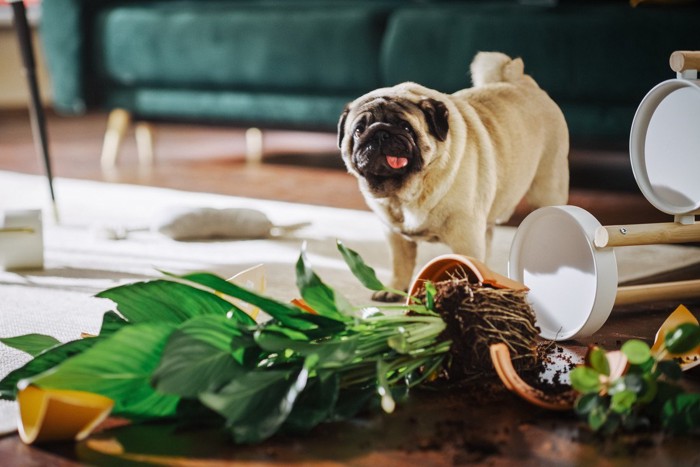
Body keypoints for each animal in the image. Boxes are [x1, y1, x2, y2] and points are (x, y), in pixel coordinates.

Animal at [338, 50, 568, 300]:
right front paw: (394, 290)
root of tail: (522, 80)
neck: (405, 194)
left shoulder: (466, 237)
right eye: (358, 130)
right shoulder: (395, 237)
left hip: (546, 188)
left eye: (406, 128)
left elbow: (467, 265)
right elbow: (401, 265)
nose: (380, 133)